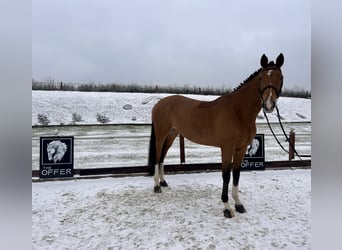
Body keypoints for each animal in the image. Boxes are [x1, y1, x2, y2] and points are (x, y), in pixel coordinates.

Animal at [148, 53, 284, 218]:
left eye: (280, 77)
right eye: (261, 78)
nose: (269, 105)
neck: (237, 112)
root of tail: (159, 104)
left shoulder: (241, 149)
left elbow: (236, 174)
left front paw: (239, 204)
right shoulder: (227, 148)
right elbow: (226, 175)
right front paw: (227, 208)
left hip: (172, 135)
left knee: (162, 157)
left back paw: (163, 182)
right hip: (161, 135)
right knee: (157, 157)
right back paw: (156, 186)